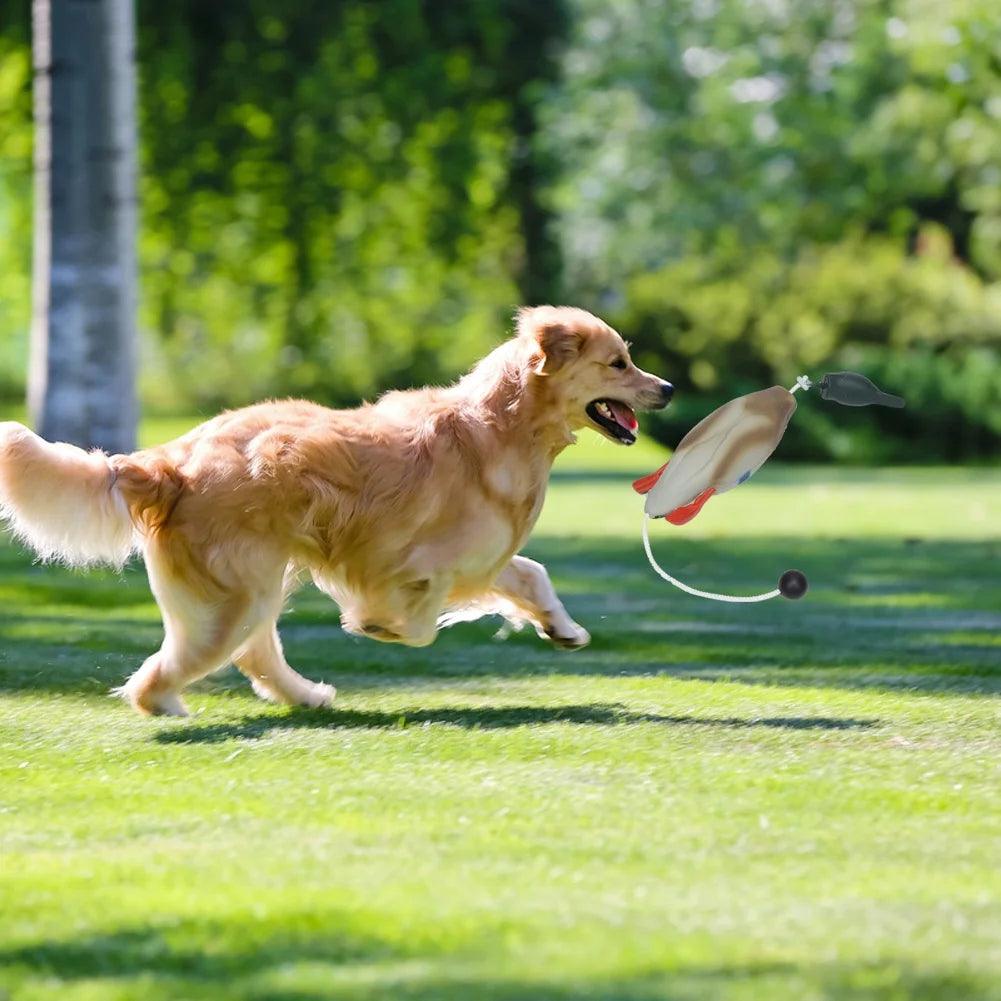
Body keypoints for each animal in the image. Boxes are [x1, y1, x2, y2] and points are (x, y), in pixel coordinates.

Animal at [1, 304, 672, 712]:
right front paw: (378, 624)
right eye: (618, 363)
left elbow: (531, 574)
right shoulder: (418, 560)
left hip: (252, 590)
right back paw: (167, 704)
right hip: (237, 596)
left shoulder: (482, 558)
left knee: (256, 654)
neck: (500, 427)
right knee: (168, 670)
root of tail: (169, 462)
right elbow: (422, 619)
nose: (668, 388)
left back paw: (307, 697)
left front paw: (564, 629)